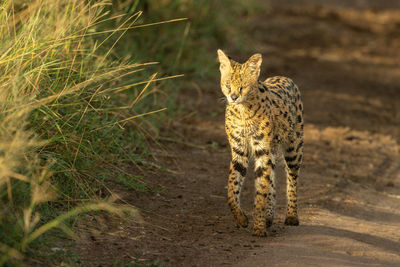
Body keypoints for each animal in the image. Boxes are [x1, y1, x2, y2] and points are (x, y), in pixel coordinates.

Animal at [217, 49, 304, 238]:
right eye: (228, 85)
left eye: (243, 86)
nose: (233, 97)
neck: (242, 110)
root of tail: (285, 77)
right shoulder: (239, 150)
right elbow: (231, 189)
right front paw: (242, 218)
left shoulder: (262, 149)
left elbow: (261, 191)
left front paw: (258, 226)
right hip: (272, 151)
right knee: (272, 180)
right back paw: (269, 217)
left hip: (294, 148)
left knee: (291, 179)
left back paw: (291, 216)